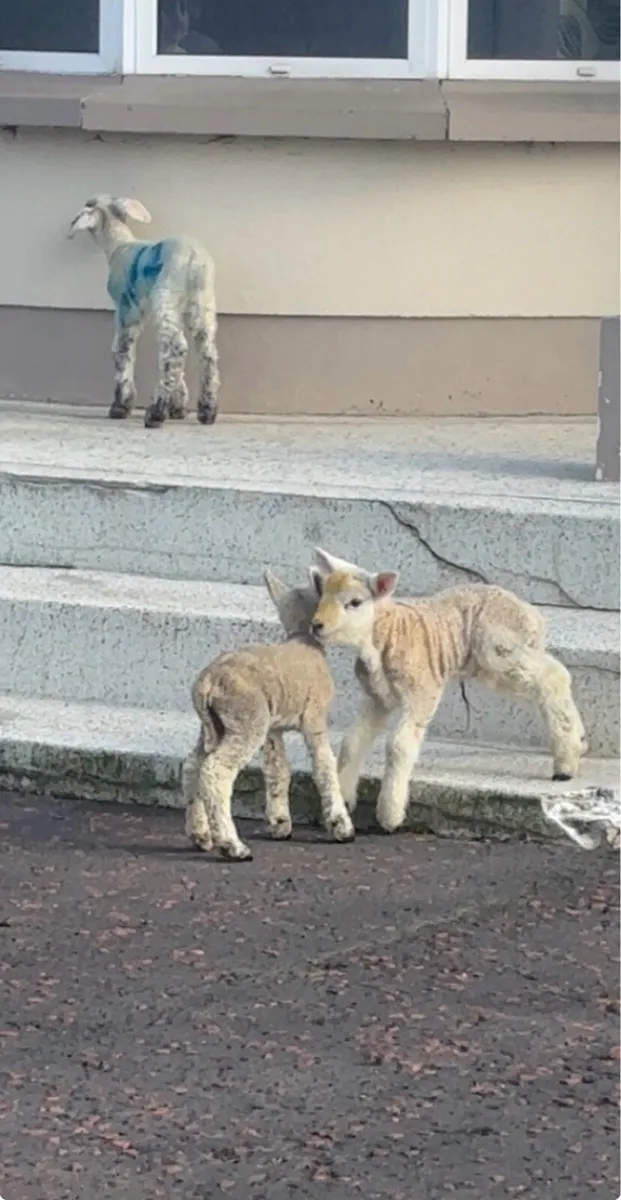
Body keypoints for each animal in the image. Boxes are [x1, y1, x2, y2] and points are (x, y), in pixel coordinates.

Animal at [68, 195, 219, 429]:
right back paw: (207, 410)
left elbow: (122, 352)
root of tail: (194, 259)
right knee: (207, 353)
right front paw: (178, 406)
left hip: (165, 295)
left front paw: (120, 406)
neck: (120, 245)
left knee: (175, 348)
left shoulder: (125, 309)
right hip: (202, 304)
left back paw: (156, 412)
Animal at [182, 567, 355, 861]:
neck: (302, 638)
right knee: (215, 771)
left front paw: (279, 823)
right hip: (245, 720)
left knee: (193, 766)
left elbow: (277, 769)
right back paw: (232, 846)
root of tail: (207, 683)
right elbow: (324, 766)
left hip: (214, 727)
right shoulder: (314, 716)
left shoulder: (274, 727)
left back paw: (201, 835)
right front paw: (341, 826)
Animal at [308, 547, 588, 835]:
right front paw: (342, 801)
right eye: (322, 593)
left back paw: (565, 765)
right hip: (493, 662)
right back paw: (578, 741)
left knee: (552, 677)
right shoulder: (379, 697)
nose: (316, 625)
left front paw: (389, 815)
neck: (385, 633)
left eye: (354, 602)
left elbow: (398, 745)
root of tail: (532, 614)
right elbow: (352, 741)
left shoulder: (422, 691)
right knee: (553, 672)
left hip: (499, 651)